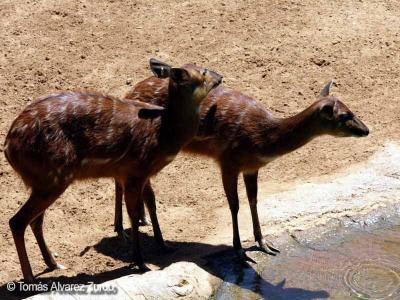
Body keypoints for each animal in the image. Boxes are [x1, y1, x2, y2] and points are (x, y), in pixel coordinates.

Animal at [3, 58, 222, 282]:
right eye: (204, 72)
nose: (220, 77)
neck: (164, 132)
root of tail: (8, 146)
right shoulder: (134, 171)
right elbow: (134, 213)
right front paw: (141, 263)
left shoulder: (143, 173)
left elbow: (151, 203)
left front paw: (164, 246)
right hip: (52, 177)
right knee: (17, 221)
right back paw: (30, 277)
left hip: (45, 181)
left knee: (35, 221)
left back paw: (54, 264)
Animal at [115, 71, 368, 262]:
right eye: (344, 115)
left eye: (351, 109)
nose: (366, 130)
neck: (262, 139)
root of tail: (129, 92)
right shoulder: (228, 161)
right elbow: (234, 205)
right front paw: (239, 251)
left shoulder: (251, 167)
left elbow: (253, 200)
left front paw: (264, 243)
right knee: (143, 189)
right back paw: (153, 239)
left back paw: (134, 225)